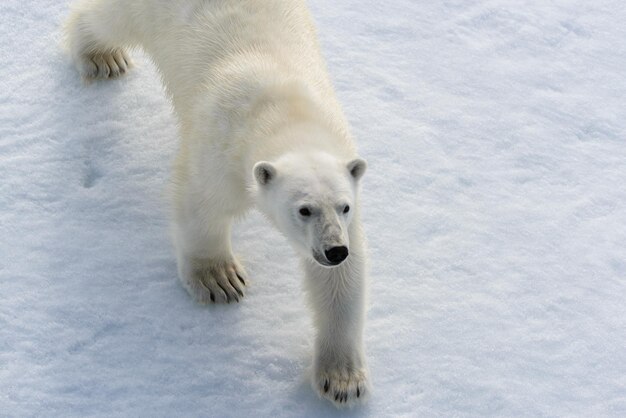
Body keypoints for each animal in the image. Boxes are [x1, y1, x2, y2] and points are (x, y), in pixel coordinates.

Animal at [64, 0, 366, 406]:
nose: (334, 250)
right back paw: (100, 56)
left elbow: (342, 281)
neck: (284, 109)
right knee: (108, 22)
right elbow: (201, 203)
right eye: (304, 209)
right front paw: (220, 280)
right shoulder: (222, 146)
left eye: (343, 207)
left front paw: (343, 380)